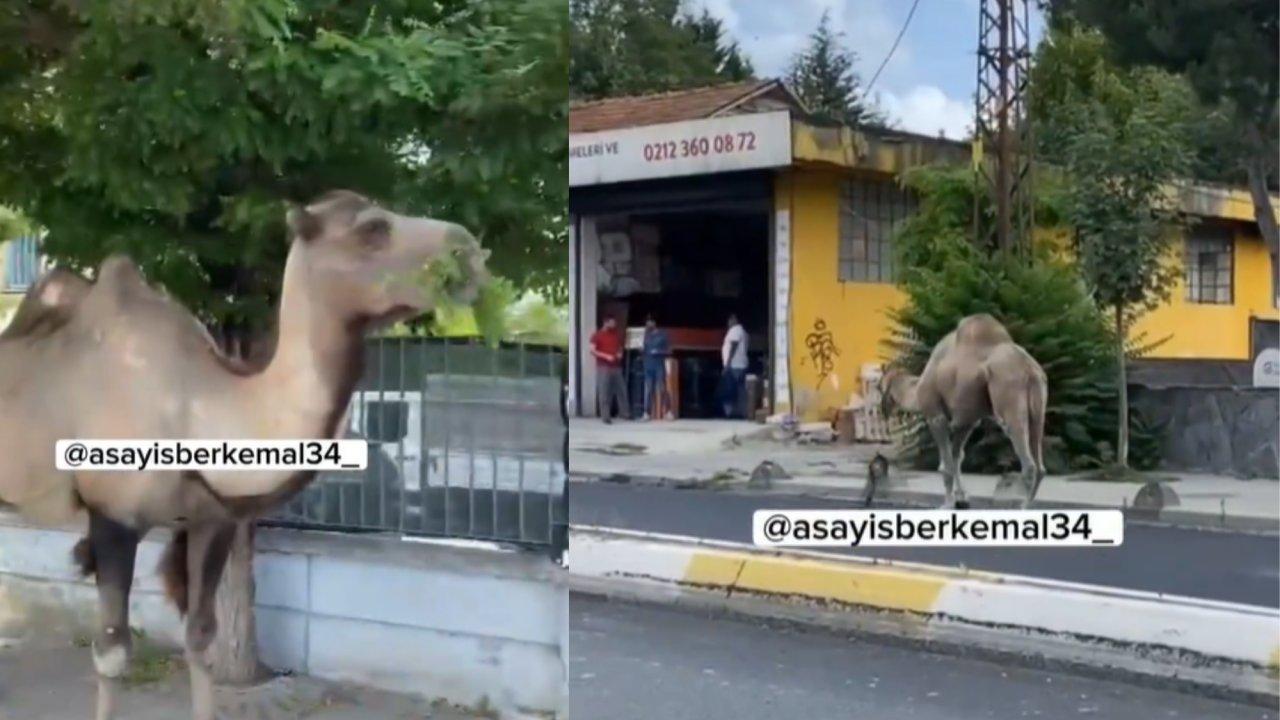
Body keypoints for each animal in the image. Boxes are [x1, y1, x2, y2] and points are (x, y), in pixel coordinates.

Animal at [0, 190, 488, 717]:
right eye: (372, 229)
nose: (468, 252)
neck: (194, 408)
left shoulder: (211, 521)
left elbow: (200, 639)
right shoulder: (113, 517)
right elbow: (112, 654)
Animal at [880, 311, 1049, 507]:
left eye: (879, 387)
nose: (882, 410)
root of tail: (1031, 370)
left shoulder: (935, 416)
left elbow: (946, 465)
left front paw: (946, 504)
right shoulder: (966, 422)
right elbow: (957, 457)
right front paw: (962, 498)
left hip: (1009, 396)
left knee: (1028, 465)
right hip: (1039, 408)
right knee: (1040, 465)